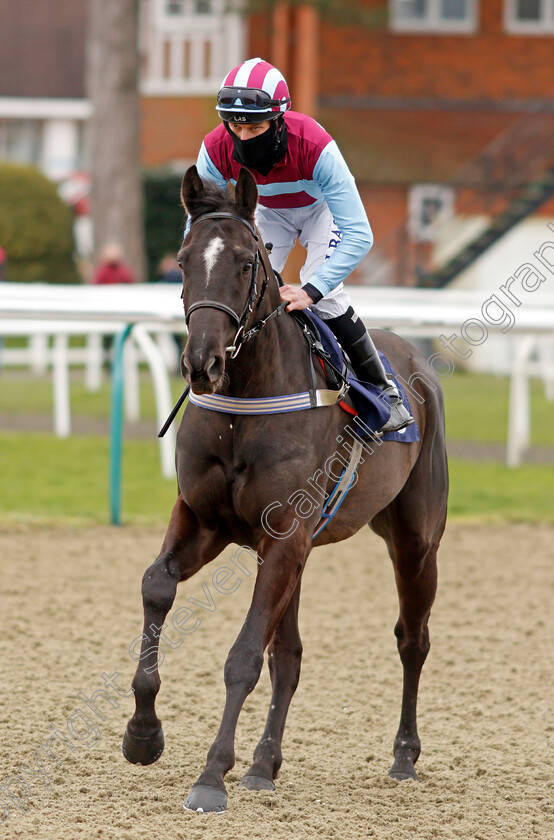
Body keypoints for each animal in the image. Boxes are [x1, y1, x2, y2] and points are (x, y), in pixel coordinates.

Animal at [122, 166, 448, 812]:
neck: (244, 405)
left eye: (248, 262)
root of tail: (416, 361)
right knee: (291, 657)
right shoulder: (208, 522)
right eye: (182, 260)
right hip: (300, 553)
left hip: (414, 540)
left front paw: (210, 775)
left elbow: (245, 655)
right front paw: (143, 733)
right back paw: (263, 764)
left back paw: (404, 755)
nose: (202, 363)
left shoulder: (283, 537)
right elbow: (157, 587)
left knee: (413, 639)